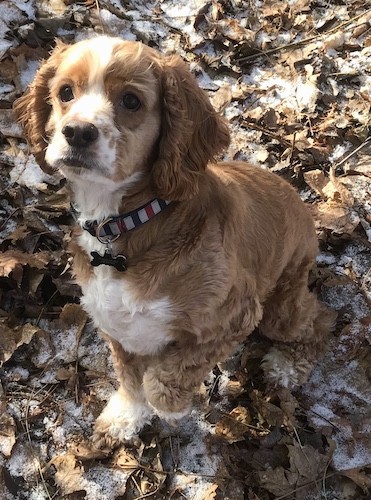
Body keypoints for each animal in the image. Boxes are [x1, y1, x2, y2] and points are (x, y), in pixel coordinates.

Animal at [13, 35, 334, 450]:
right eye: (65, 92)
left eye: (131, 100)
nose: (79, 132)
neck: (124, 225)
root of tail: (300, 203)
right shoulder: (114, 321)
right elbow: (131, 377)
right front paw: (126, 416)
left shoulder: (235, 315)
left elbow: (167, 374)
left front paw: (171, 407)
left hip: (280, 308)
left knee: (320, 319)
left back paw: (288, 366)